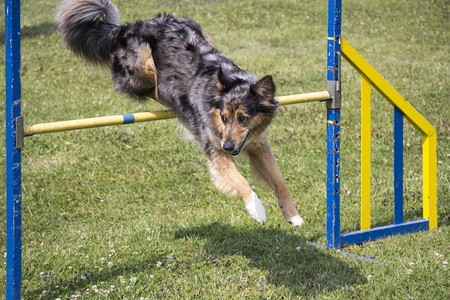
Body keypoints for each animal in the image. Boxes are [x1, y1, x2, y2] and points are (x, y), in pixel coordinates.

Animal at [54, 0, 304, 226]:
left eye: (243, 118)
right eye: (224, 118)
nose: (228, 146)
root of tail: (123, 27)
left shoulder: (258, 144)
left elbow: (279, 181)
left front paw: (293, 215)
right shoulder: (214, 149)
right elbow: (239, 180)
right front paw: (256, 209)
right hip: (142, 65)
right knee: (150, 88)